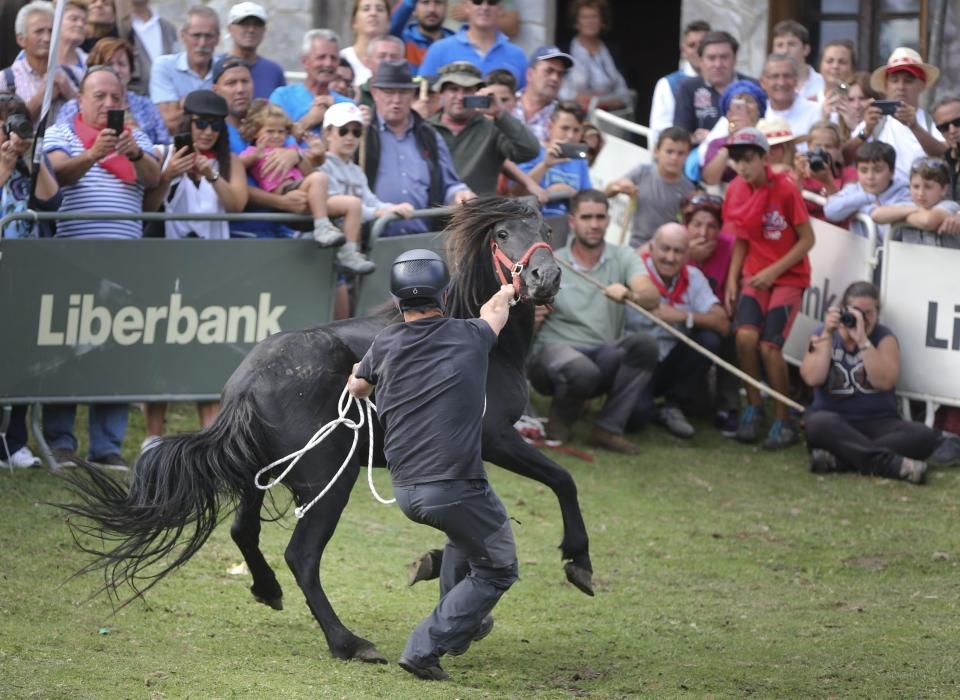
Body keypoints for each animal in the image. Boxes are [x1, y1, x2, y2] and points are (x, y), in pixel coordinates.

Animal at [62, 196, 592, 660]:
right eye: (501, 234)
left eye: (546, 232)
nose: (545, 277)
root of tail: (248, 383)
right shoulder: (495, 440)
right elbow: (562, 480)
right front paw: (578, 563)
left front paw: (440, 573)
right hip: (329, 481)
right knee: (302, 557)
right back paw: (349, 643)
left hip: (260, 474)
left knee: (243, 530)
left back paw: (268, 590)